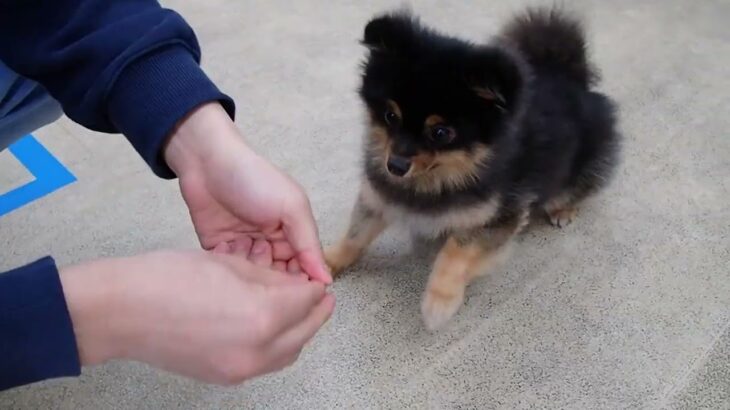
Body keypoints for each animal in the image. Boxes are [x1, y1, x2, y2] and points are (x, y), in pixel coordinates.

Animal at [328, 7, 616, 330]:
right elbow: (354, 236)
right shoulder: (379, 197)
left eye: (440, 133)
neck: (438, 178)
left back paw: (563, 209)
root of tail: (567, 74)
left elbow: (455, 252)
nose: (396, 166)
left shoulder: (497, 218)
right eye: (390, 115)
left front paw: (439, 302)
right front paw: (326, 263)